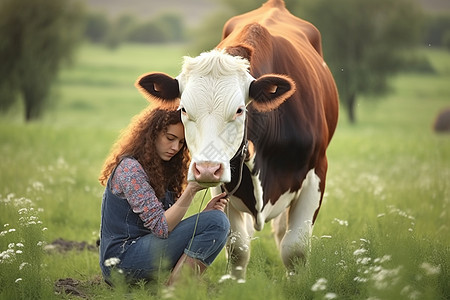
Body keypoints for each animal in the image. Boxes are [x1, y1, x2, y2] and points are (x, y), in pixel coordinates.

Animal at [135, 0, 340, 282]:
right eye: (183, 109)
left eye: (240, 110)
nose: (206, 169)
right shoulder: (224, 186)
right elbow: (237, 246)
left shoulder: (316, 172)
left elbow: (295, 248)